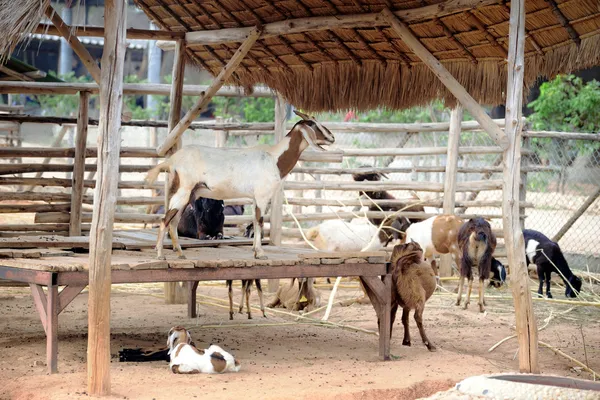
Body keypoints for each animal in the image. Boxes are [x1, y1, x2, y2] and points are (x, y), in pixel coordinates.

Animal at [144, 109, 332, 260]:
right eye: (313, 125)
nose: (331, 137)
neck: (274, 158)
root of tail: (172, 160)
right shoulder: (262, 196)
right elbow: (260, 222)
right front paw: (261, 253)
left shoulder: (256, 199)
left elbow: (255, 222)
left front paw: (256, 251)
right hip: (184, 190)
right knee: (165, 220)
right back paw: (160, 255)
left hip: (189, 194)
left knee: (173, 222)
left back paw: (180, 253)